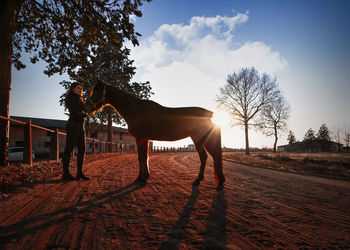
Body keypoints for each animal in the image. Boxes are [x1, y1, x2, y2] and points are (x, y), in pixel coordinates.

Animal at [85, 80, 226, 189]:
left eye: (96, 91)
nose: (87, 107)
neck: (135, 110)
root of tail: (209, 115)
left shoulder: (141, 138)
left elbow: (143, 157)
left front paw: (143, 179)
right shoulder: (141, 139)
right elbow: (141, 157)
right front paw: (140, 178)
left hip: (203, 139)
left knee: (215, 156)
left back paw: (219, 184)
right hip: (197, 139)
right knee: (204, 157)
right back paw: (199, 180)